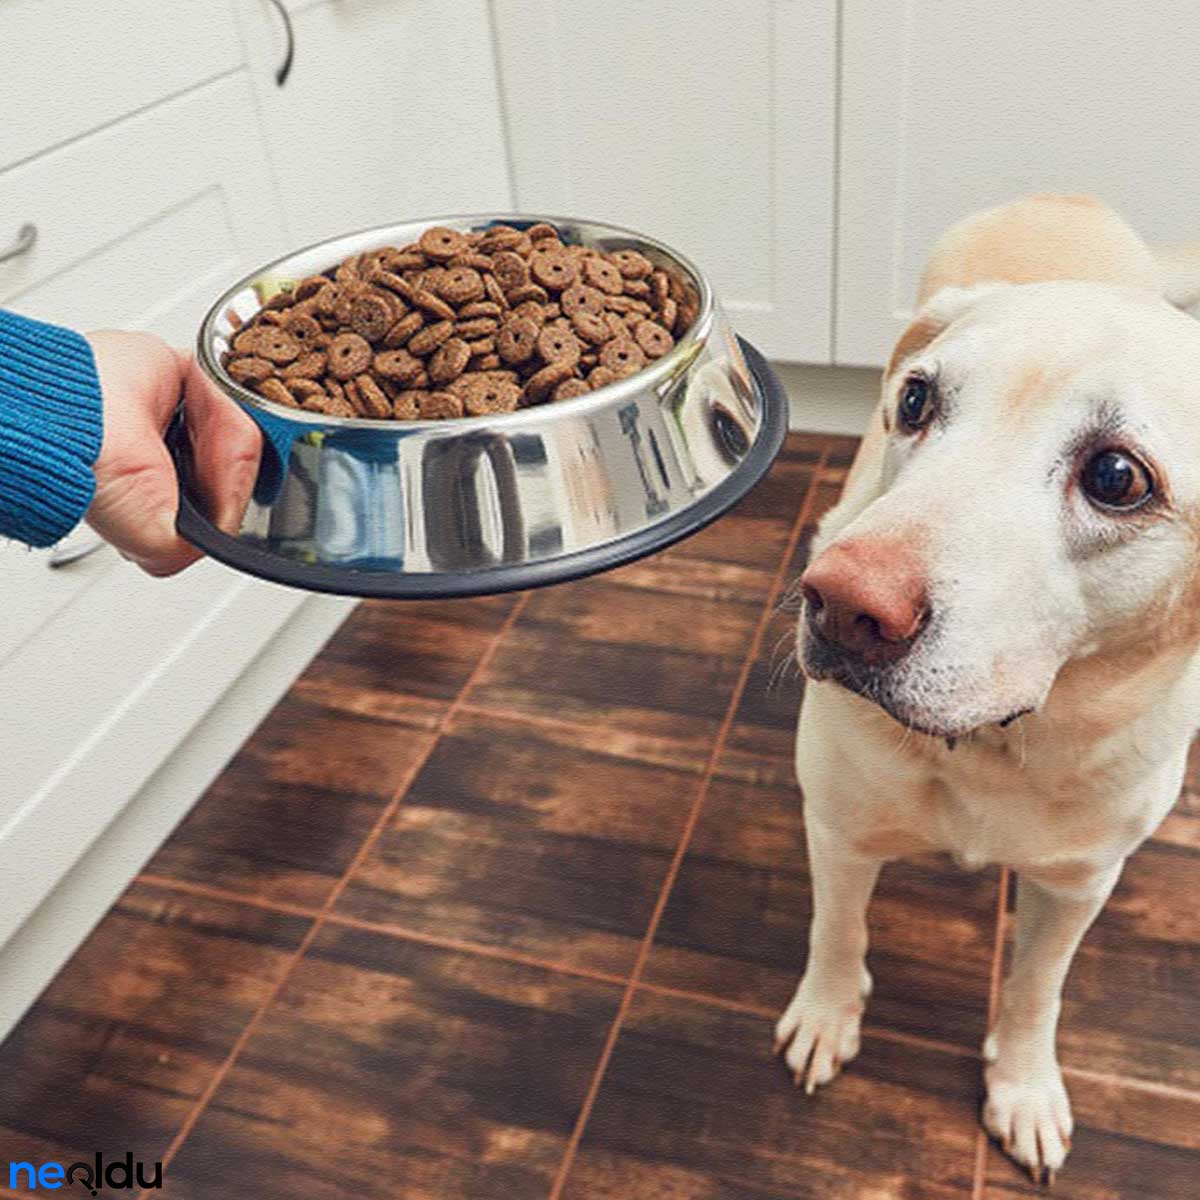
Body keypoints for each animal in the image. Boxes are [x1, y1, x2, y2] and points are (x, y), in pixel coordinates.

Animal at [772, 196, 1200, 1180]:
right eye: (916, 402)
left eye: (1117, 476)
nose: (841, 604)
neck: (999, 744)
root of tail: (1061, 197)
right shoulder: (840, 829)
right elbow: (836, 931)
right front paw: (826, 1015)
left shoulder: (1081, 884)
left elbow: (1039, 987)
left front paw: (1025, 1088)